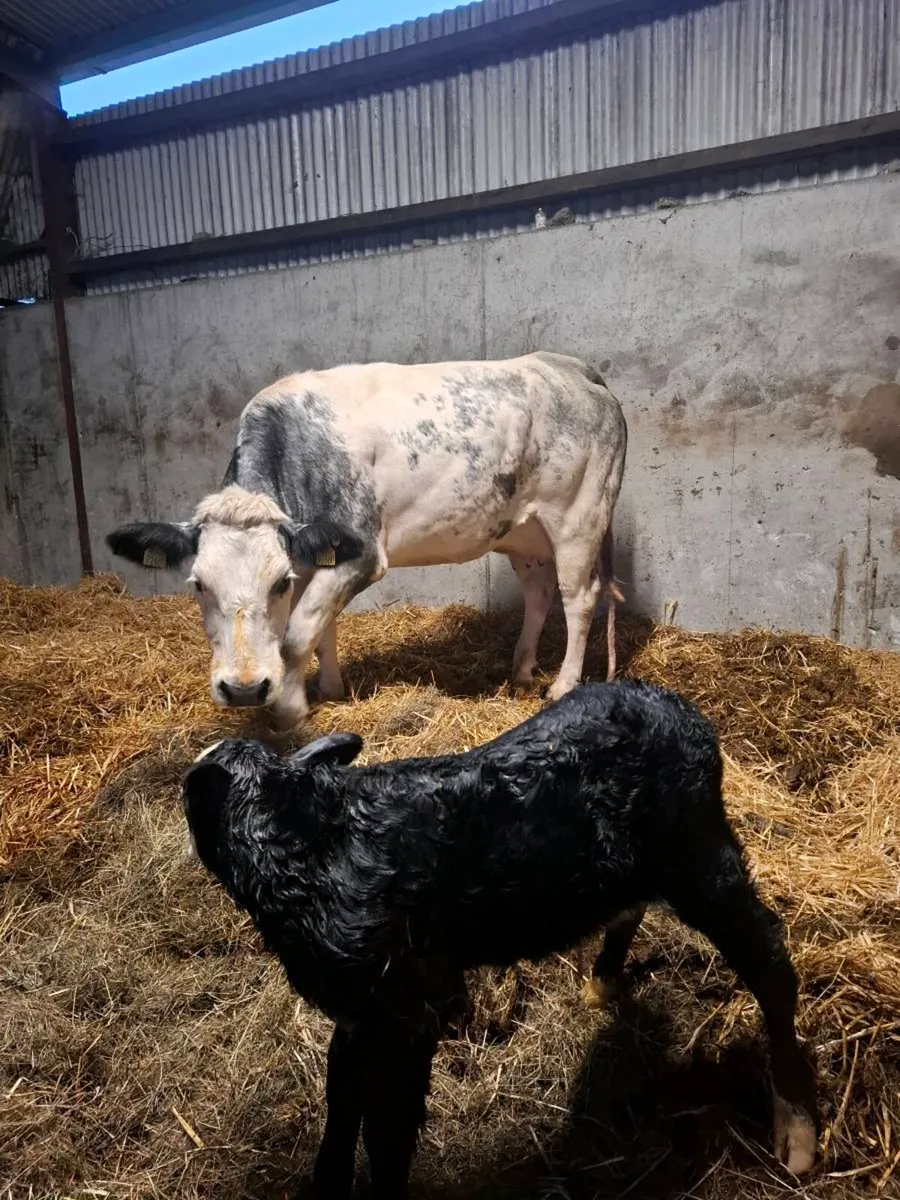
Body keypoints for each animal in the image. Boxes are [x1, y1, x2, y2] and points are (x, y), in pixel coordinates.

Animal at [107, 352, 627, 728]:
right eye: (198, 585)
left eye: (279, 583)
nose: (244, 689)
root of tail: (569, 365)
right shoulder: (317, 555)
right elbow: (322, 630)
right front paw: (329, 689)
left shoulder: (359, 555)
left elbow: (298, 634)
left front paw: (291, 711)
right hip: (525, 533)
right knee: (539, 594)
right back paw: (520, 671)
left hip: (578, 517)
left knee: (579, 597)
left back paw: (562, 686)